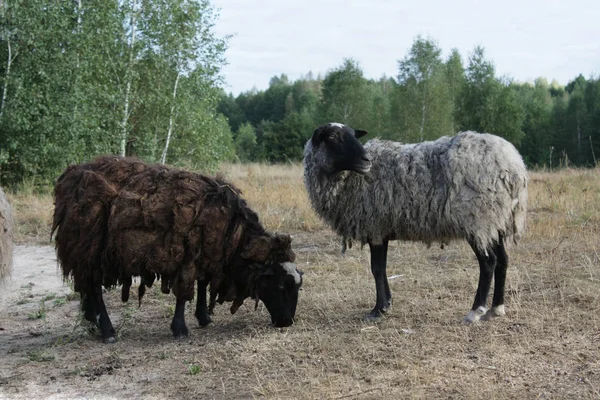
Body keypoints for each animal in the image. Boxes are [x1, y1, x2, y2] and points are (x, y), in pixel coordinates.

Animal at [52, 155, 302, 342]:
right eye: (281, 286)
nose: (287, 322)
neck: (234, 235)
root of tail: (68, 180)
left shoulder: (206, 253)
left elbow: (202, 284)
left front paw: (204, 318)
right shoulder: (188, 256)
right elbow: (184, 292)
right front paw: (180, 329)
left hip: (83, 255)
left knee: (86, 288)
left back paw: (92, 324)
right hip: (89, 249)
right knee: (94, 289)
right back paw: (107, 331)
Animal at [302, 123, 528, 324]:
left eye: (352, 135)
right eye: (333, 137)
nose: (367, 159)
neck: (349, 179)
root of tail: (514, 168)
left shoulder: (375, 226)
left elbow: (376, 268)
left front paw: (378, 309)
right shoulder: (382, 228)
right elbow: (382, 268)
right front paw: (386, 304)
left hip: (478, 218)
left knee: (489, 262)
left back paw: (475, 312)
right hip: (496, 221)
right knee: (503, 260)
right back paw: (496, 309)